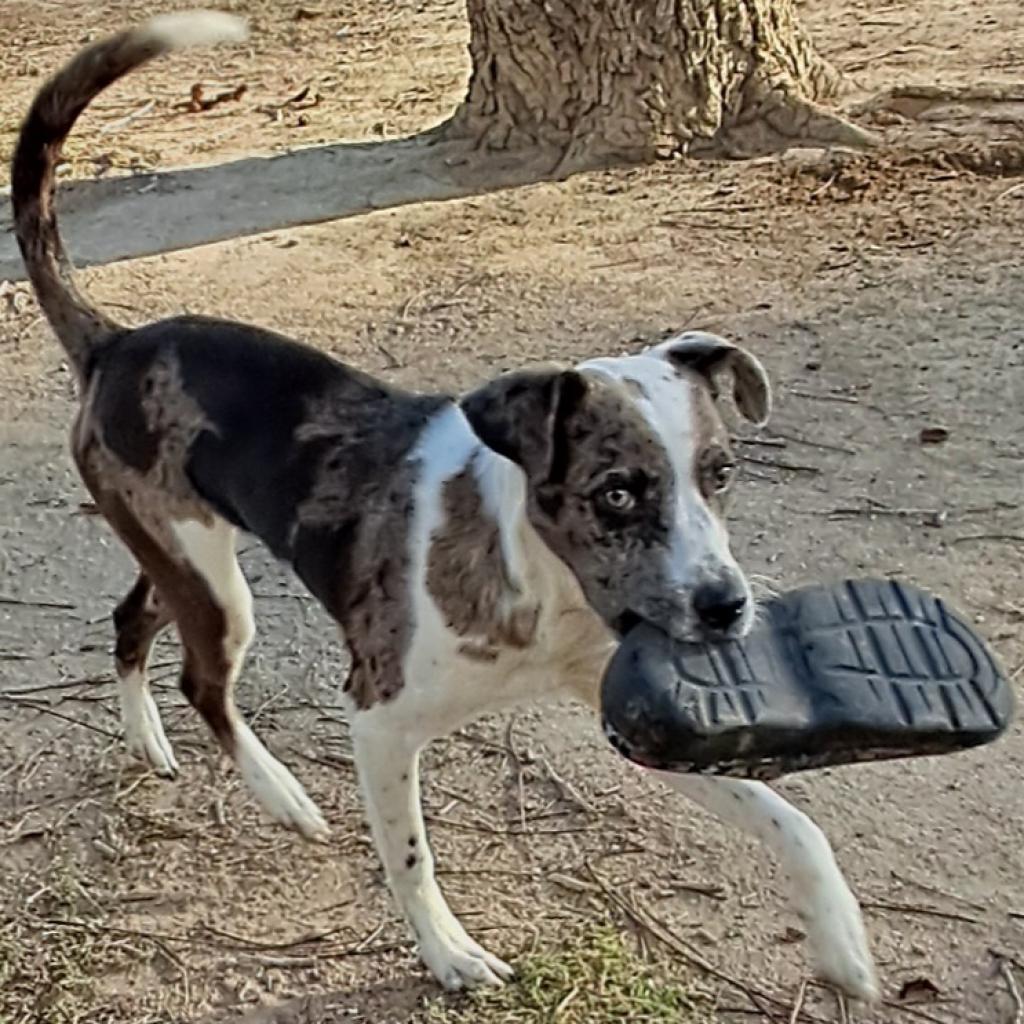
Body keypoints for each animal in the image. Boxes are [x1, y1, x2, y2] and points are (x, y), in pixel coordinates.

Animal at [9, 8, 880, 999]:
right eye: (616, 492)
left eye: (721, 473)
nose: (728, 607)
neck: (537, 586)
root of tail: (113, 343)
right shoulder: (381, 723)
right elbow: (411, 859)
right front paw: (448, 952)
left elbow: (791, 821)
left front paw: (842, 941)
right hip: (217, 590)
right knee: (203, 682)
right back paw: (285, 797)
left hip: (184, 554)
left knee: (130, 620)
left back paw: (151, 743)